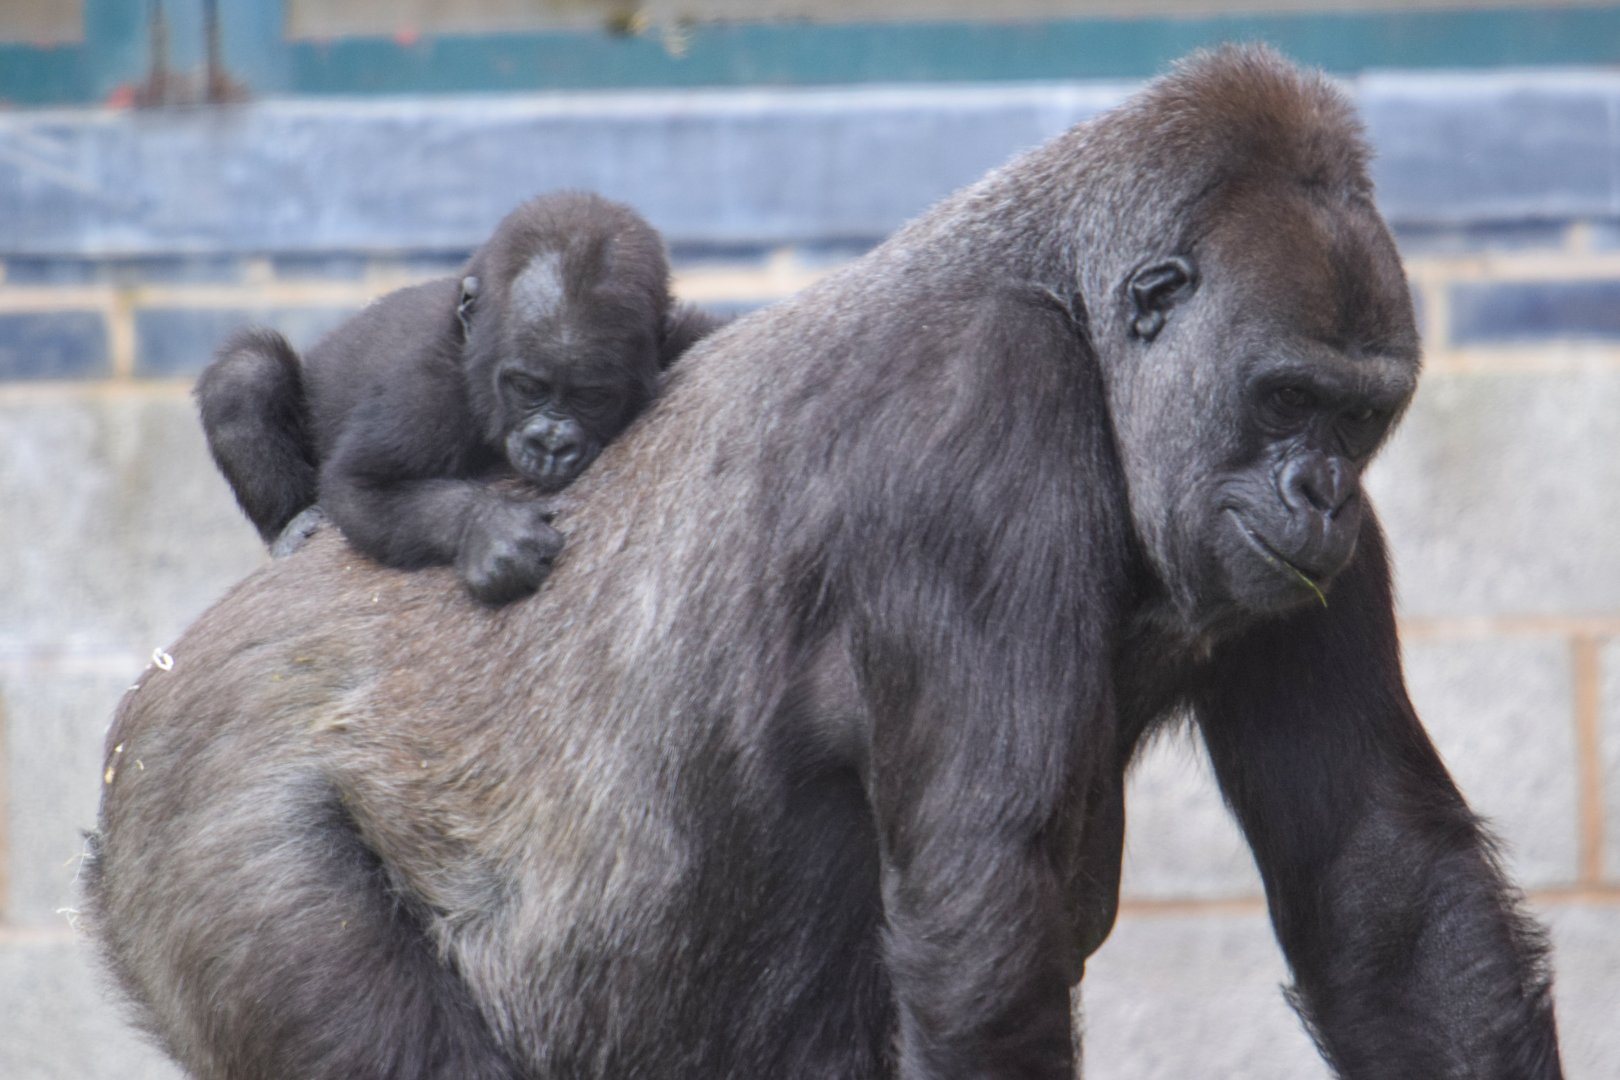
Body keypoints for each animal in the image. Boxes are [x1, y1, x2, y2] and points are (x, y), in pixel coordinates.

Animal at [194, 191, 724, 603]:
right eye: (528, 387)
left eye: (592, 396)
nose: (551, 445)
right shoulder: (427, 393)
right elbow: (361, 487)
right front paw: (489, 528)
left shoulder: (676, 335)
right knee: (247, 374)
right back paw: (292, 526)